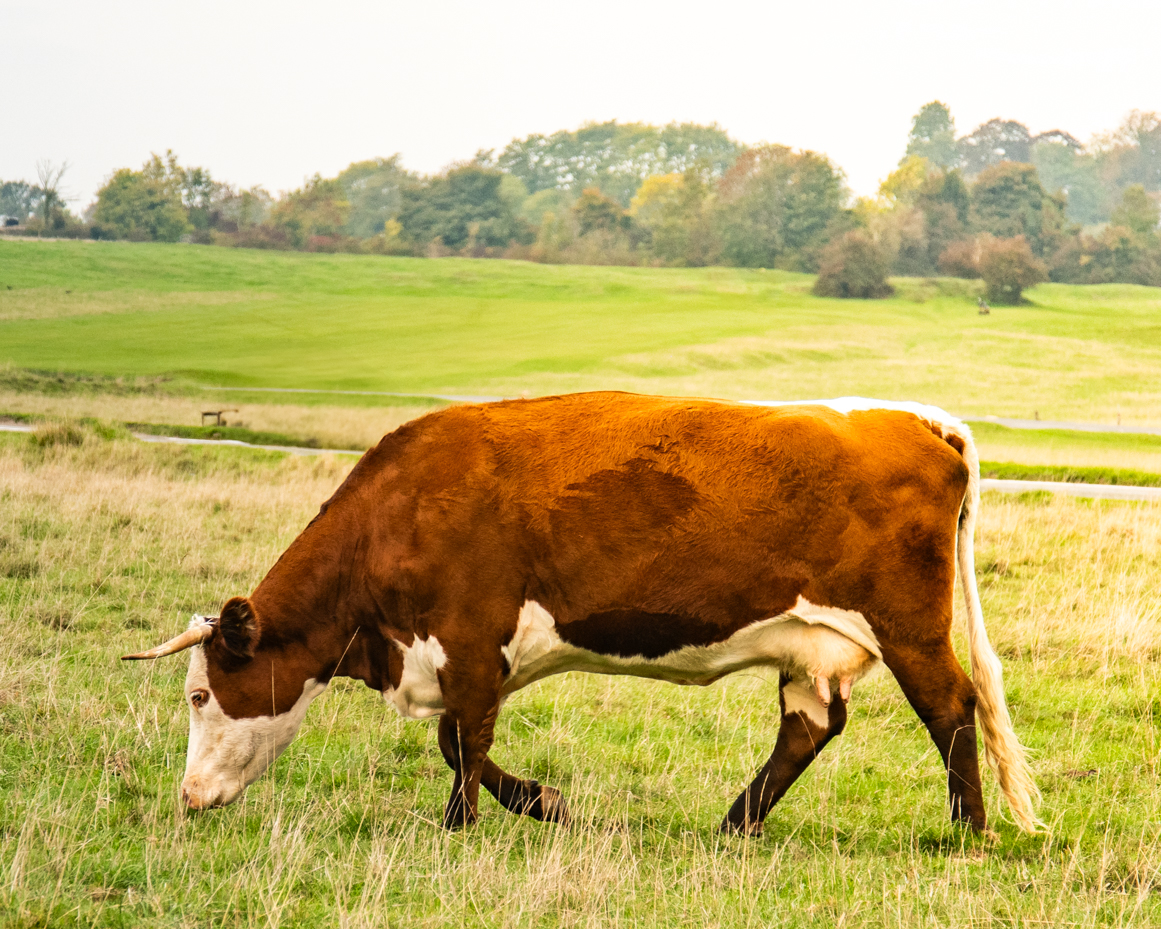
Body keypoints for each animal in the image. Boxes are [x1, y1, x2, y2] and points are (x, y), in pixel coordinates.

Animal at [124, 392, 1041, 836]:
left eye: (200, 694)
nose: (188, 796)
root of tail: (917, 419)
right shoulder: (470, 653)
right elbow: (464, 740)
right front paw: (541, 803)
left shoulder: (469, 639)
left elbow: (460, 740)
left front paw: (463, 823)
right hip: (811, 645)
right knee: (807, 728)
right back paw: (733, 824)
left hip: (908, 626)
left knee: (949, 706)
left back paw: (966, 828)